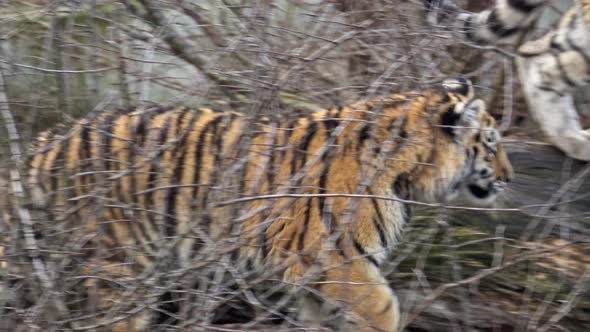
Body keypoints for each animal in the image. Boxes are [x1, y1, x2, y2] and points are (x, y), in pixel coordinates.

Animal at [25, 79, 512, 330]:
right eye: (491, 142)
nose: (509, 176)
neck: (410, 172)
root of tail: (47, 141)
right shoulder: (338, 261)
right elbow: (384, 309)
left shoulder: (316, 277)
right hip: (121, 267)